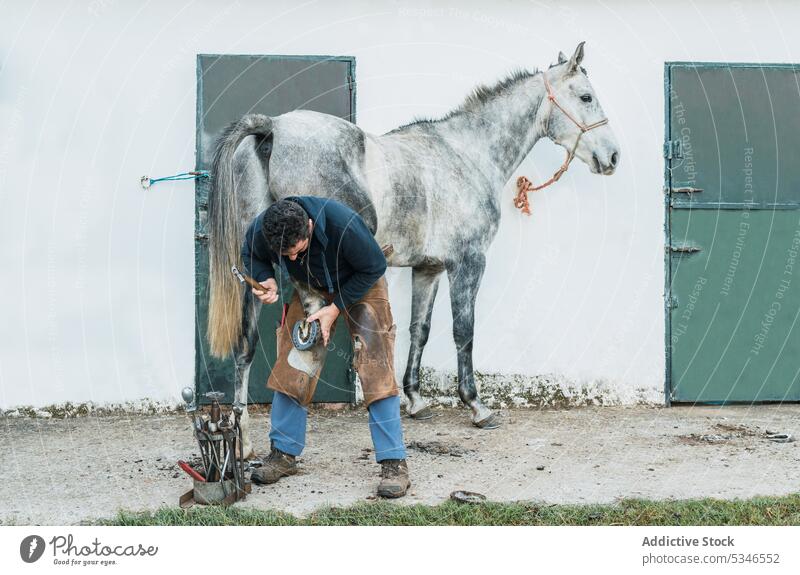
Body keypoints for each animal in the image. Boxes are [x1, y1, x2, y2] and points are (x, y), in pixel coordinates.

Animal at [205, 44, 620, 460]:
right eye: (586, 96)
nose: (613, 157)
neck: (467, 155)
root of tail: (272, 127)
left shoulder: (428, 269)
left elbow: (419, 330)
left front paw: (416, 401)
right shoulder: (467, 263)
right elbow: (463, 331)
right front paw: (476, 406)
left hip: (257, 273)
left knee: (247, 346)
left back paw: (245, 441)